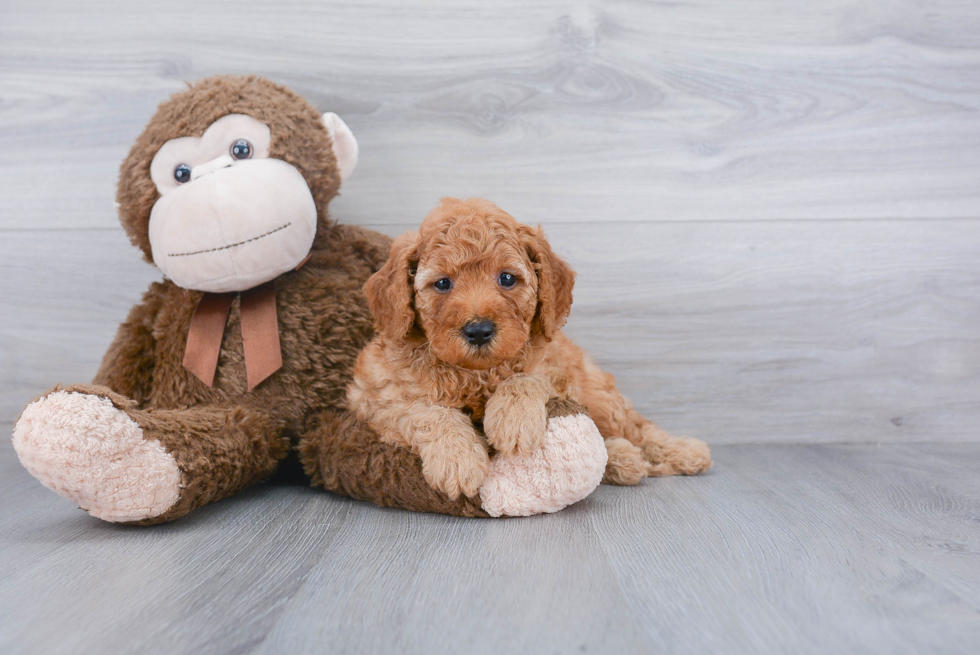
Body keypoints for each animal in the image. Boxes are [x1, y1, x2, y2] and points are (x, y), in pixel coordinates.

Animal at [348, 197, 708, 500]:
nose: (478, 330)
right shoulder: (376, 398)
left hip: (600, 396)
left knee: (637, 427)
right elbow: (424, 411)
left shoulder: (554, 367)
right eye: (442, 283)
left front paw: (512, 420)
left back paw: (682, 452)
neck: (477, 374)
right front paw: (457, 459)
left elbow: (527, 379)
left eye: (507, 278)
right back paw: (624, 459)